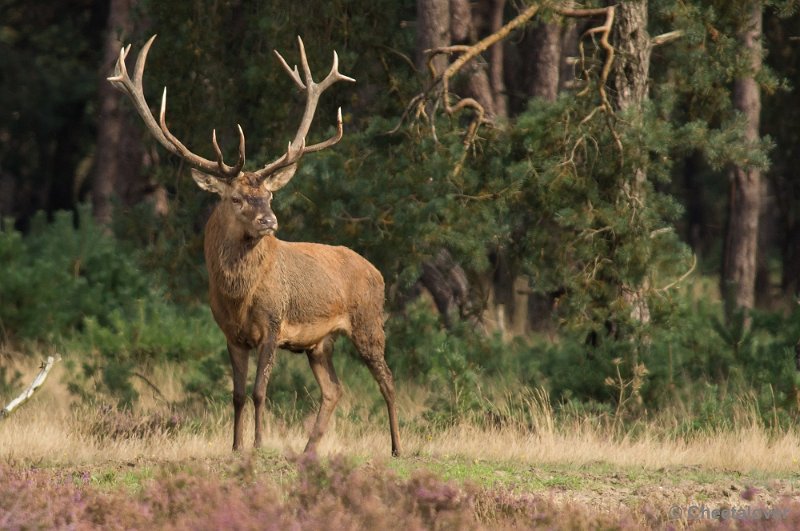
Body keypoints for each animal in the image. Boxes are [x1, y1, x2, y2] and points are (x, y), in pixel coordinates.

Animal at [108, 35, 400, 458]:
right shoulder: (231, 334)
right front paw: (235, 446)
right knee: (334, 389)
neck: (238, 296)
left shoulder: (273, 324)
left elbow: (261, 391)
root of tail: (376, 271)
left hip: (369, 321)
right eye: (236, 198)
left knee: (388, 380)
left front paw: (260, 444)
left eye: (269, 196)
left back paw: (397, 447)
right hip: (319, 343)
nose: (269, 221)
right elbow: (237, 394)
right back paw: (309, 450)